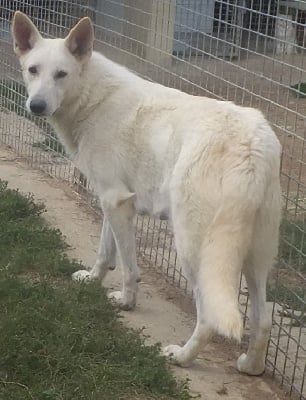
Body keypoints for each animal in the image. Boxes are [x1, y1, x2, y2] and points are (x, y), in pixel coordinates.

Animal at [11, 11, 280, 376]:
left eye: (61, 74)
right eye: (33, 70)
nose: (37, 106)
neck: (91, 97)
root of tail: (251, 146)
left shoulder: (116, 202)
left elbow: (128, 267)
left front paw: (126, 302)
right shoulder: (112, 201)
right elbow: (105, 252)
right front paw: (92, 280)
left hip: (194, 251)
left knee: (210, 317)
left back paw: (182, 357)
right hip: (256, 256)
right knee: (263, 318)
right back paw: (251, 366)